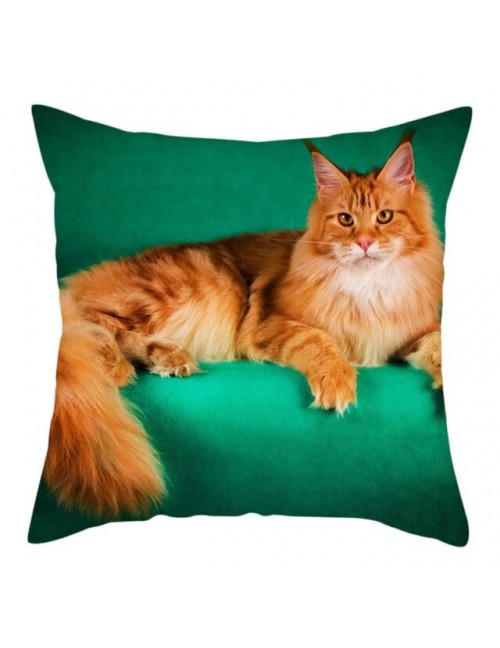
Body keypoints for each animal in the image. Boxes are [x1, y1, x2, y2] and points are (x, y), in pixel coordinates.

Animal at [44, 138, 443, 518]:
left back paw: (167, 358)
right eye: (345, 219)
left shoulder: (416, 330)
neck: (369, 290)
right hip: (182, 289)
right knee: (91, 322)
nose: (363, 243)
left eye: (384, 216)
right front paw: (338, 380)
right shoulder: (273, 323)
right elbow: (319, 340)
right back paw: (118, 364)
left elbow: (438, 344)